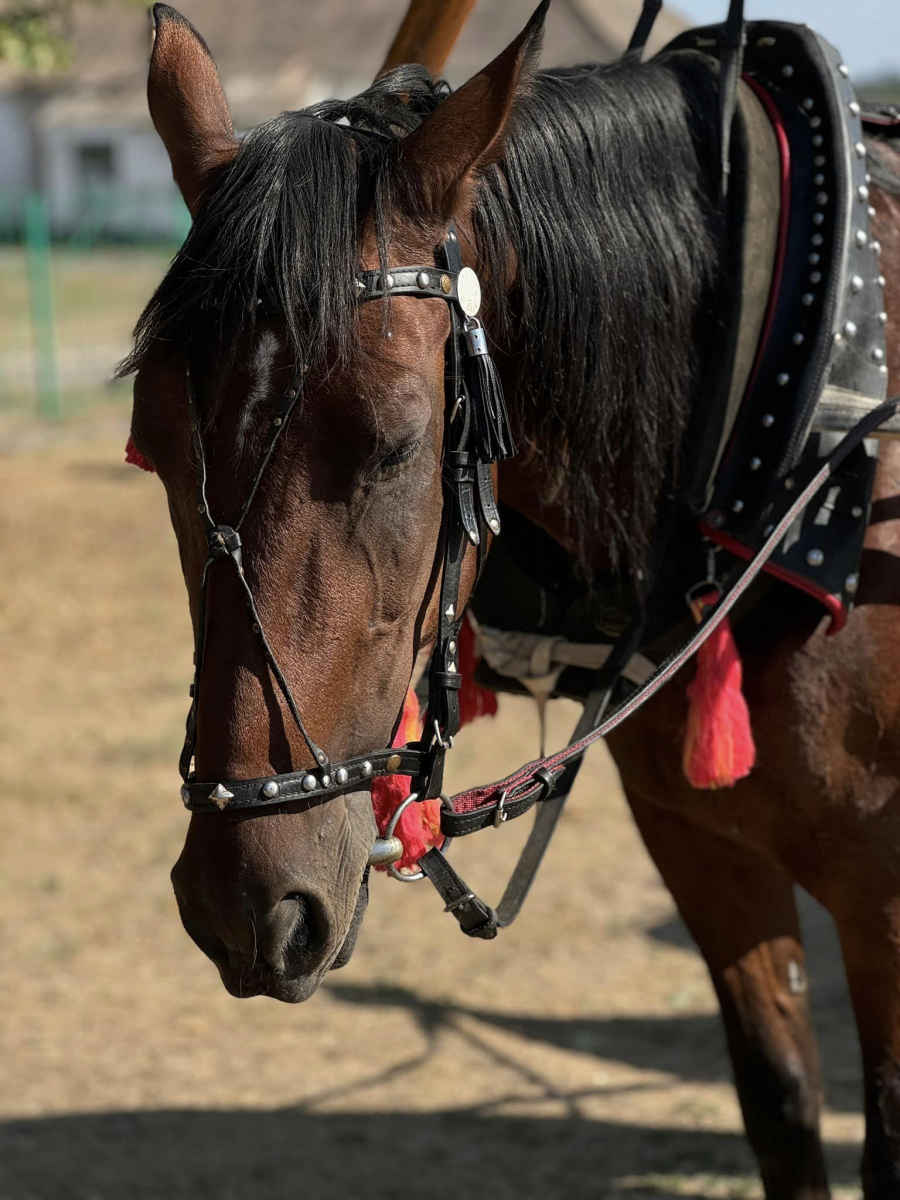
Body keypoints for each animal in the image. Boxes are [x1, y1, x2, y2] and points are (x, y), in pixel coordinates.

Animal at [128, 2, 900, 1200]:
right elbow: (781, 1101)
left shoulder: (885, 900)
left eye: (397, 448)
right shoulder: (705, 847)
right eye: (157, 452)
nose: (243, 902)